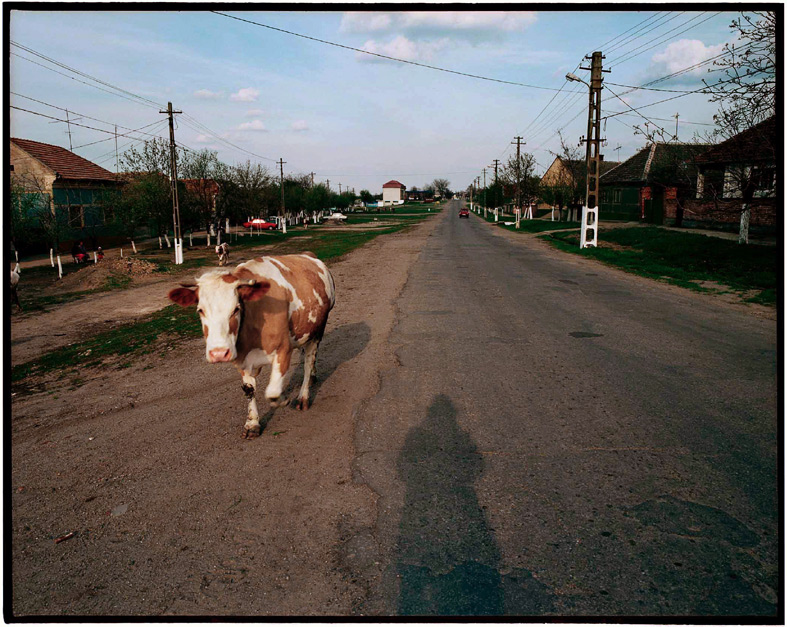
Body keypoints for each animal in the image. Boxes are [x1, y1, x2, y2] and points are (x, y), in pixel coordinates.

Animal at [169, 253, 336, 440]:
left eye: (236, 308)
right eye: (200, 310)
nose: (219, 353)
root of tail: (309, 255)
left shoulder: (283, 349)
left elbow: (272, 392)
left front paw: (283, 399)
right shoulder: (242, 359)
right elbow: (249, 390)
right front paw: (252, 424)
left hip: (318, 328)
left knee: (308, 361)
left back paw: (303, 397)